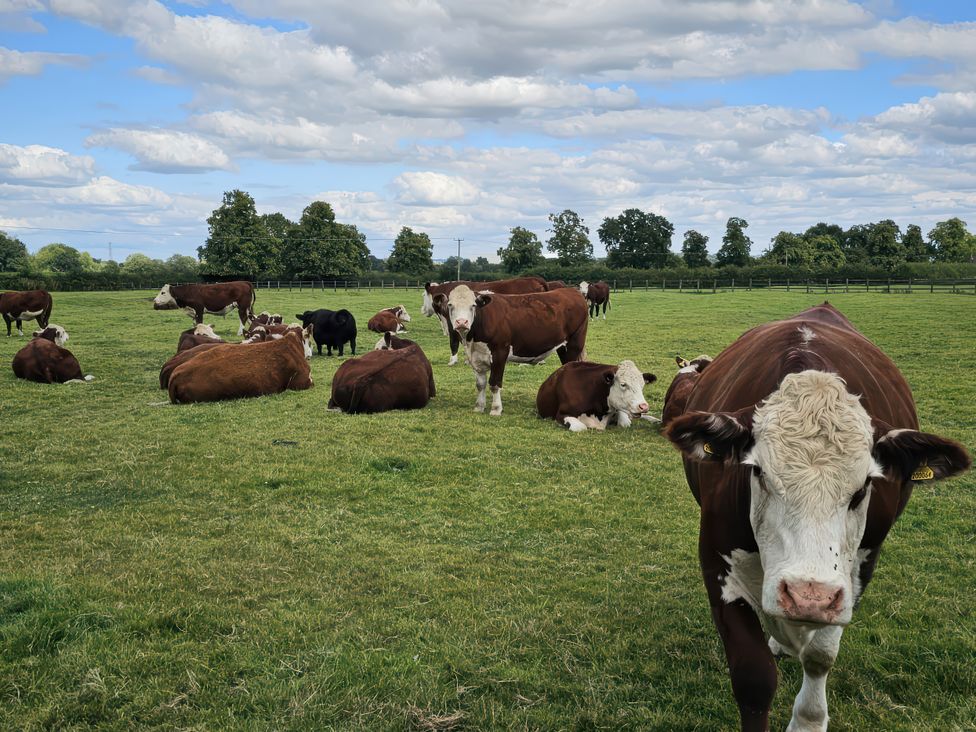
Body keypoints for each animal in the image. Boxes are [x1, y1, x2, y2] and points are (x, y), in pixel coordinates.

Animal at [424, 276, 552, 364]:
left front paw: (453, 361)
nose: (423, 310)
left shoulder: (453, 324)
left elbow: (454, 342)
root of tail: (536, 279)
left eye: (423, 295)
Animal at [434, 284, 588, 414]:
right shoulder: (475, 356)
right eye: (450, 305)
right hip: (562, 347)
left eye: (473, 305)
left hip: (575, 344)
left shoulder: (499, 352)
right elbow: (480, 384)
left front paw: (496, 409)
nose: (461, 322)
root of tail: (572, 291)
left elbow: (494, 383)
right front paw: (479, 407)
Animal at [664, 302, 968, 732]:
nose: (807, 595)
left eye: (864, 487)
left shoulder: (854, 573)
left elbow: (821, 654)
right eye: (759, 473)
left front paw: (809, 718)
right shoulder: (716, 561)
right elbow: (753, 676)